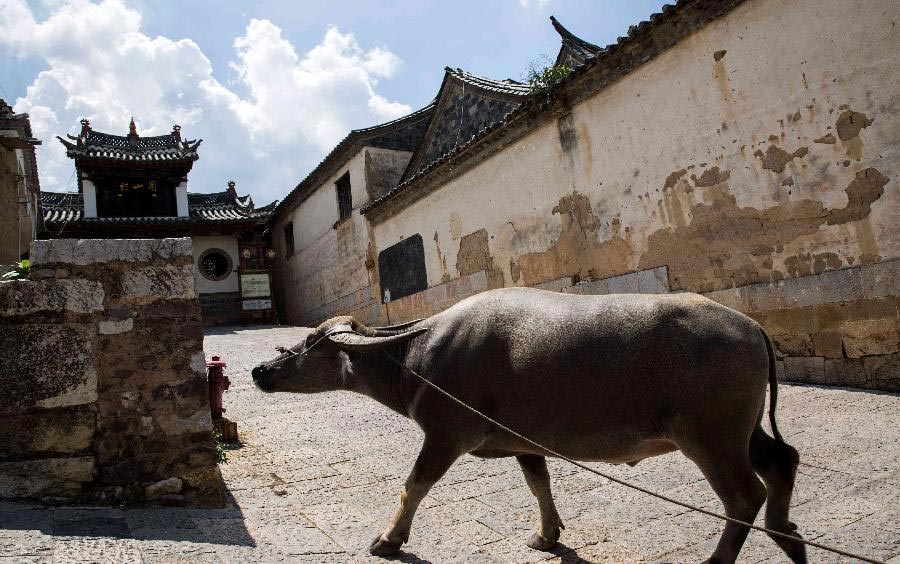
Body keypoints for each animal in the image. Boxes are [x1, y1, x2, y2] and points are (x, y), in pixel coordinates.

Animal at [250, 288, 804, 560]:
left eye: (312, 342)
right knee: (782, 462)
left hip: (711, 439)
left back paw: (724, 557)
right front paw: (547, 535)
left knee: (744, 497)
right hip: (742, 432)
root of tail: (752, 325)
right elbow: (539, 484)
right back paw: (789, 538)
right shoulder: (524, 442)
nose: (259, 371)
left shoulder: (445, 436)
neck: (418, 353)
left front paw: (388, 540)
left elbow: (414, 485)